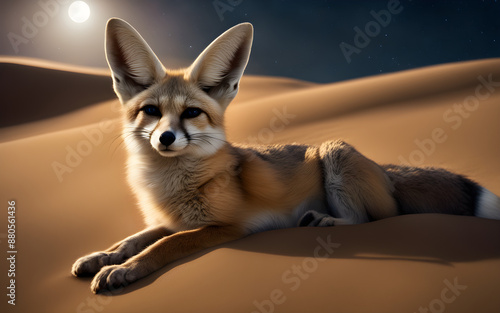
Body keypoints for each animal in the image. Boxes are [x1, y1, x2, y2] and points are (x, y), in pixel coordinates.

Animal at [71, 18, 500, 292]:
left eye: (191, 113)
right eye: (151, 111)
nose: (166, 138)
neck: (170, 186)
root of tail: (384, 169)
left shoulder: (226, 227)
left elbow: (162, 246)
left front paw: (124, 271)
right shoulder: (170, 221)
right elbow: (132, 240)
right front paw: (102, 257)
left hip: (335, 153)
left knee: (371, 219)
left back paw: (324, 221)